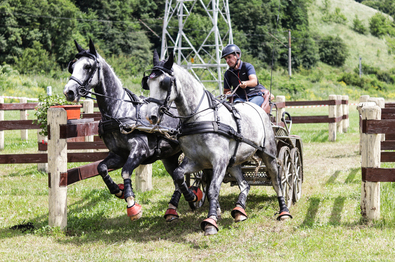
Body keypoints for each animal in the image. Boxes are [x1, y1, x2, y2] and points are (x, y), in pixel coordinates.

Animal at [63, 40, 200, 222]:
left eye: (87, 66)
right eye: (72, 66)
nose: (69, 92)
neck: (118, 112)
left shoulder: (140, 151)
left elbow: (126, 172)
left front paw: (131, 204)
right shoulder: (118, 154)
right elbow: (101, 168)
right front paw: (118, 190)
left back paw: (193, 195)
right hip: (169, 156)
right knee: (177, 178)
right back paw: (174, 208)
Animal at [144, 51, 292, 235]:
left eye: (164, 83)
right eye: (148, 82)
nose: (151, 116)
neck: (199, 117)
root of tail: (260, 110)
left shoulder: (219, 160)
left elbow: (214, 189)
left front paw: (211, 221)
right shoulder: (195, 160)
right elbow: (179, 175)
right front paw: (192, 196)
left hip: (269, 155)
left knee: (277, 180)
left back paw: (284, 211)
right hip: (233, 162)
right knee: (244, 184)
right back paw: (239, 211)